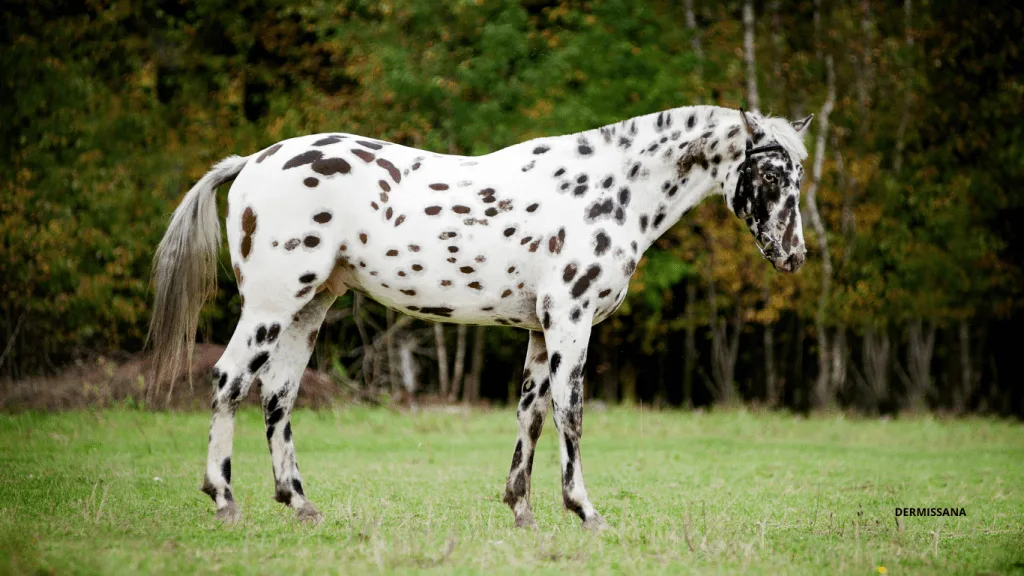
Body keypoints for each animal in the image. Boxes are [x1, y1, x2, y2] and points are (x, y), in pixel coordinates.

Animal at [148, 105, 812, 529]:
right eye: (770, 172)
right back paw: (224, 500)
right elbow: (570, 412)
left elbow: (532, 415)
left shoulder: (542, 330)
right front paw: (585, 511)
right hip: (272, 304)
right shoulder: (570, 321)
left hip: (309, 308)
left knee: (277, 397)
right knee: (229, 381)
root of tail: (252, 162)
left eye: (798, 175)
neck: (606, 191)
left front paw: (521, 509)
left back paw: (301, 505)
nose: (793, 254)